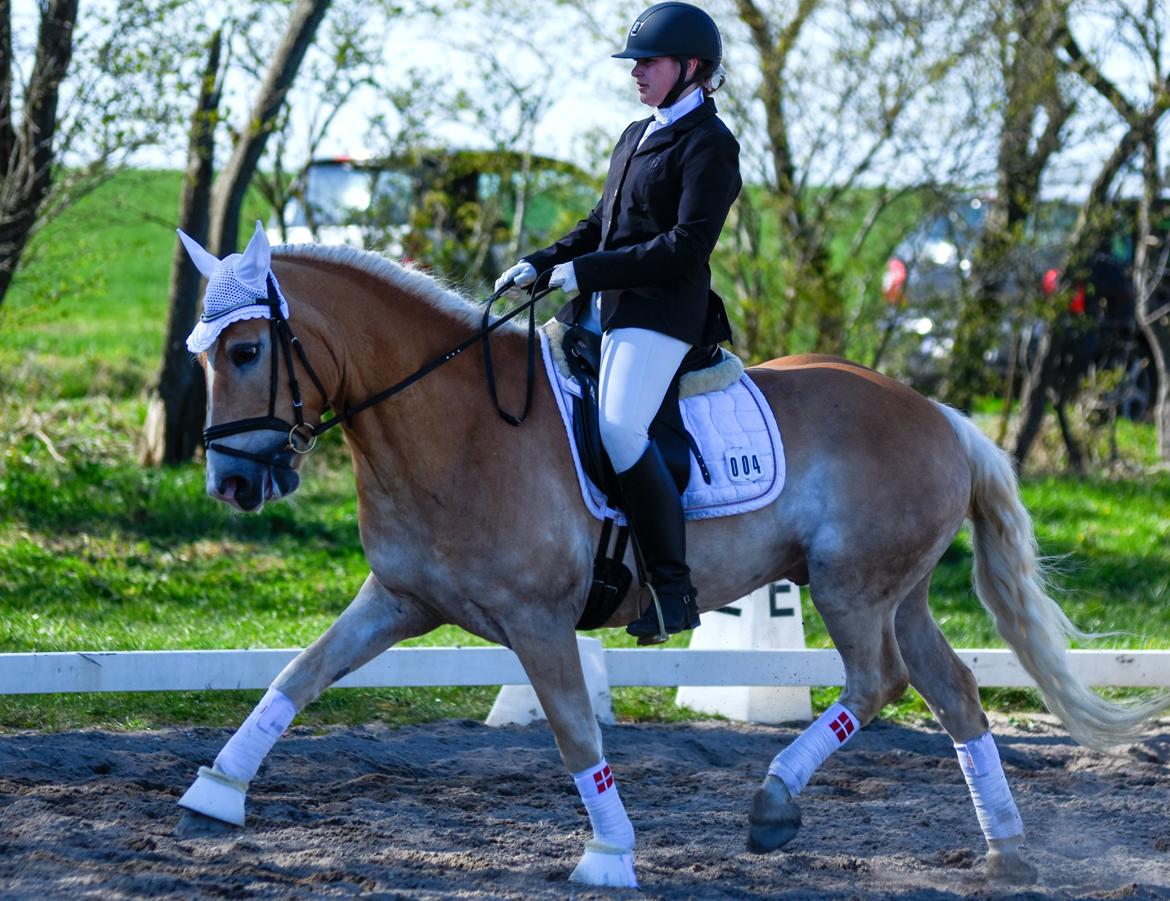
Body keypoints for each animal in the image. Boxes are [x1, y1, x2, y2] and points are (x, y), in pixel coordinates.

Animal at [173, 228, 1170, 889]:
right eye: (205, 354)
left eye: (248, 348)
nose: (231, 482)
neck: (452, 425)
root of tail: (941, 415)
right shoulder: (399, 597)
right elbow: (300, 674)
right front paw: (215, 792)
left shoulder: (539, 623)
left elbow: (578, 734)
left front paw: (609, 853)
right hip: (902, 589)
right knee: (952, 688)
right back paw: (1006, 849)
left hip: (851, 586)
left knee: (877, 679)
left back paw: (775, 801)